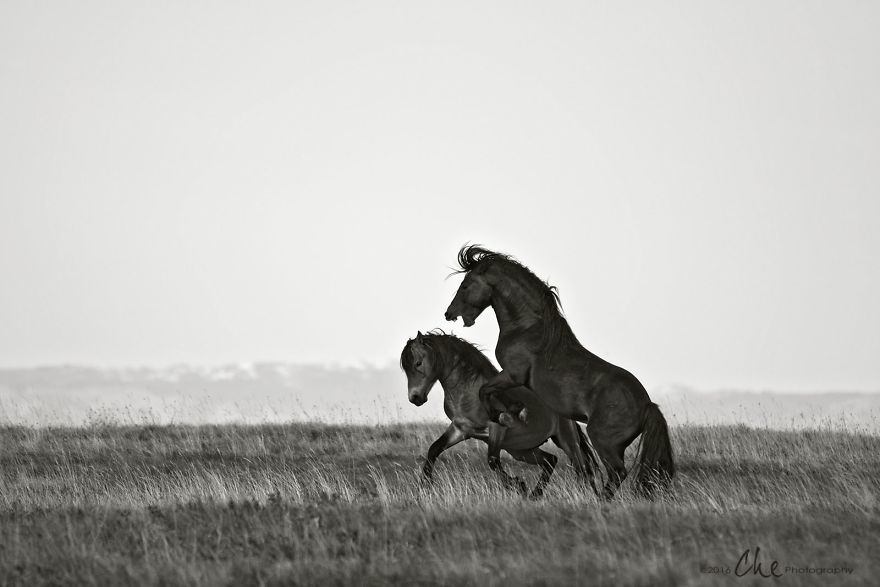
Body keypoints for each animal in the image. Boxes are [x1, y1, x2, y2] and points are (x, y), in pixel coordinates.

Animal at [400, 330, 600, 499]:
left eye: (418, 363)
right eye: (406, 368)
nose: (415, 398)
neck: (469, 392)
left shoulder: (497, 428)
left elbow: (493, 461)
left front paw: (518, 485)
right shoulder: (460, 429)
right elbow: (434, 449)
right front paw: (424, 486)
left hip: (566, 439)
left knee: (583, 468)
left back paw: (593, 497)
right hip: (520, 450)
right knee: (551, 460)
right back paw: (536, 494)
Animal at [444, 245, 675, 498]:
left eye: (466, 285)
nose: (449, 313)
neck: (528, 328)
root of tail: (647, 405)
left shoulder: (512, 374)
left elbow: (485, 390)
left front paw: (502, 415)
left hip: (603, 441)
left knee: (616, 472)